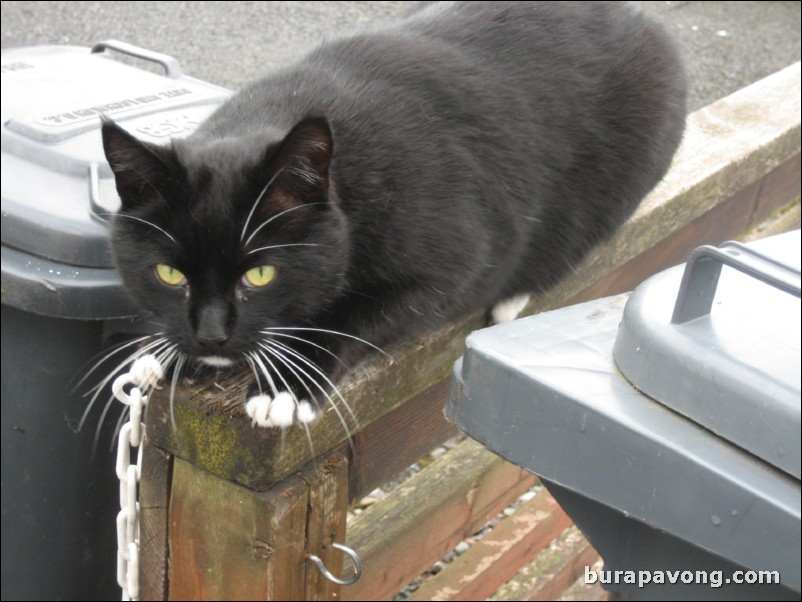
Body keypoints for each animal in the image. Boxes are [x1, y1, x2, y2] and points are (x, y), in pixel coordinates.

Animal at [103, 0, 684, 426]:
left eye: (261, 273)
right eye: (169, 273)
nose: (210, 337)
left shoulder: (457, 261)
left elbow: (355, 315)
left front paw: (288, 386)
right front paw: (164, 353)